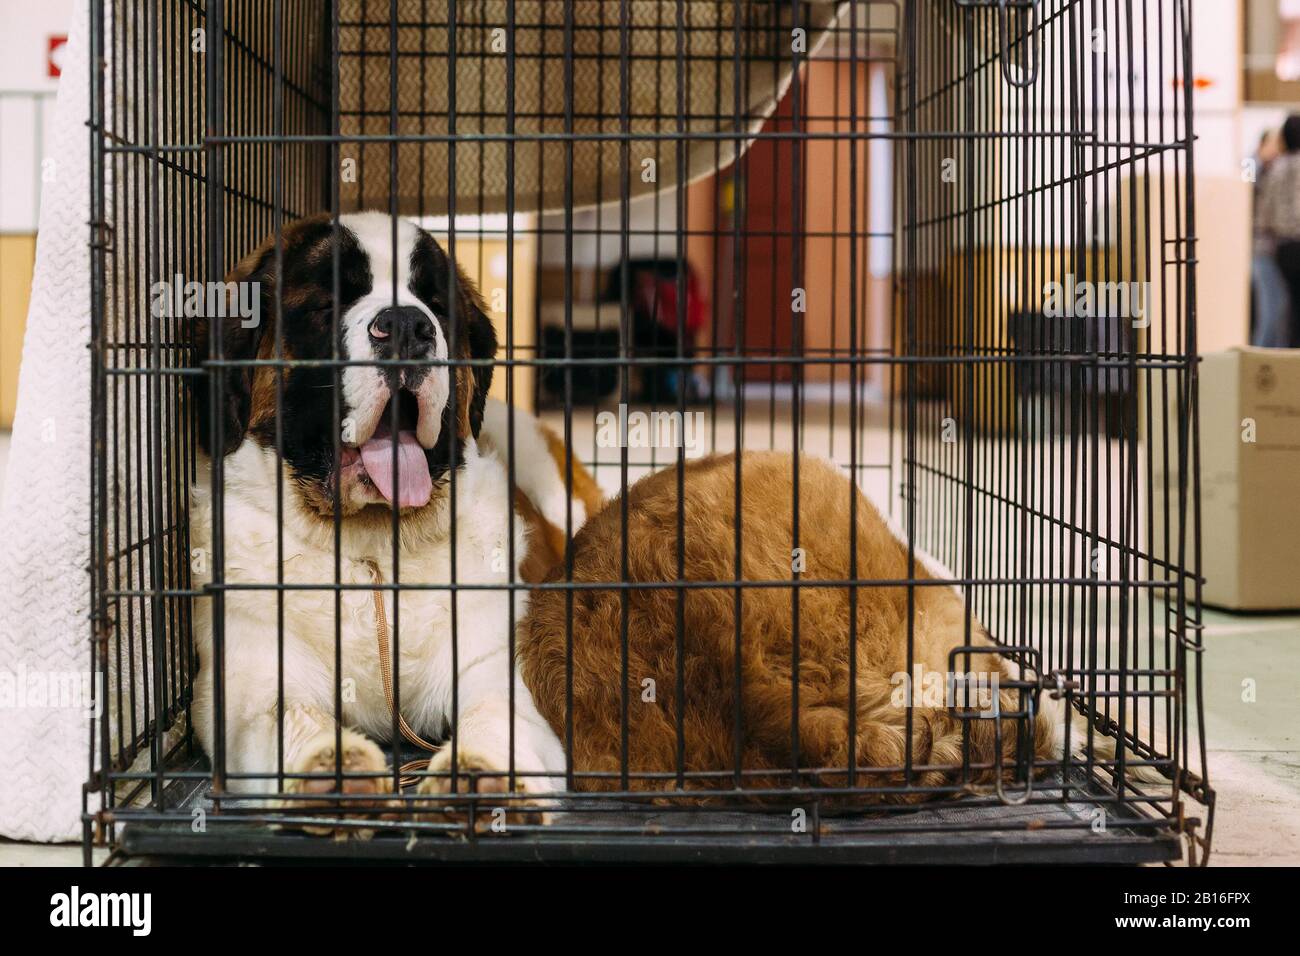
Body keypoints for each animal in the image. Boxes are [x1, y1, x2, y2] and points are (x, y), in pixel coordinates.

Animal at [185, 210, 600, 832]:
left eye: (435, 304)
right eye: (328, 303)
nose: (407, 325)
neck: (373, 553)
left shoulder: (496, 662)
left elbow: (494, 712)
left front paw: (480, 774)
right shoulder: (243, 683)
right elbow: (287, 713)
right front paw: (330, 769)